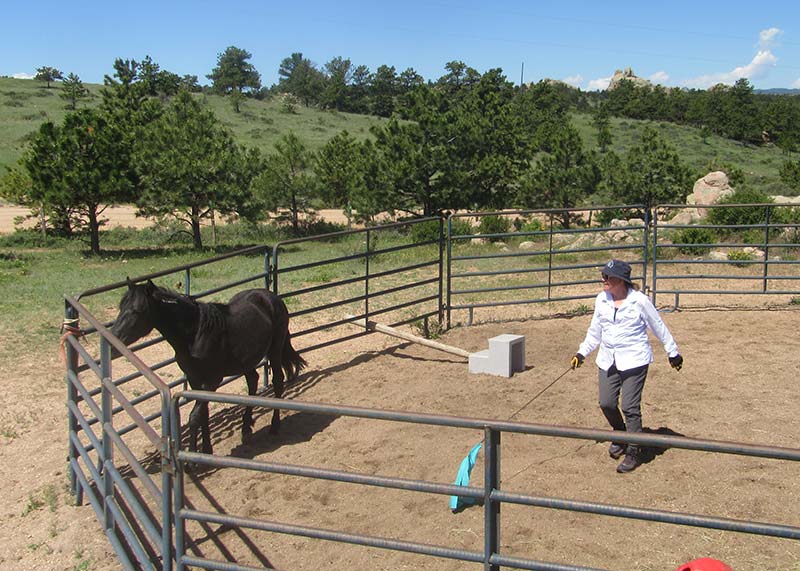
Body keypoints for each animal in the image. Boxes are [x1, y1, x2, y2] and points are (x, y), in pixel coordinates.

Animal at [109, 280, 304, 454]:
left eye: (137, 311)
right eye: (121, 307)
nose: (113, 343)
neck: (195, 334)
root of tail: (272, 297)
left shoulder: (212, 380)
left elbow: (195, 416)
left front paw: (192, 457)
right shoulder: (194, 380)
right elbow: (203, 414)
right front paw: (206, 449)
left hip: (275, 349)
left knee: (277, 381)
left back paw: (274, 426)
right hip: (246, 360)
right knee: (253, 381)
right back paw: (246, 429)